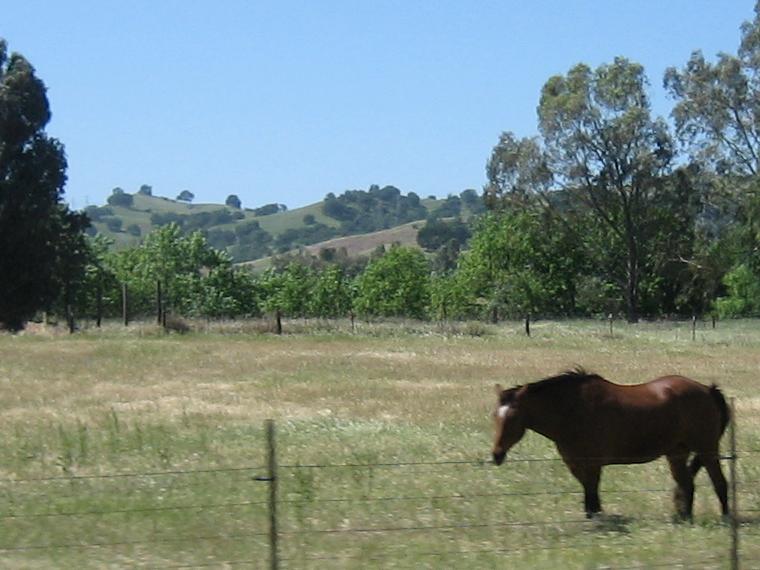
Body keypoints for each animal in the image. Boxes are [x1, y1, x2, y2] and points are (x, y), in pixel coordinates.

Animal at [492, 366, 732, 516]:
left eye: (513, 418)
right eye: (495, 416)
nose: (496, 455)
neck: (573, 410)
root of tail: (708, 390)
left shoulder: (593, 464)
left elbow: (592, 497)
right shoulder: (575, 464)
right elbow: (590, 497)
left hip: (707, 449)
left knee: (720, 483)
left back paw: (725, 518)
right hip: (676, 453)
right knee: (687, 485)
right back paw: (685, 518)